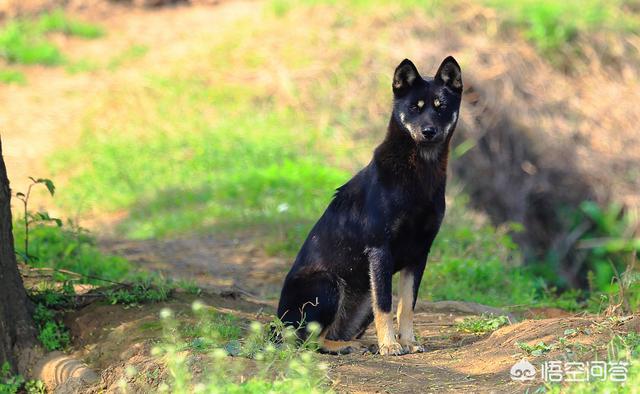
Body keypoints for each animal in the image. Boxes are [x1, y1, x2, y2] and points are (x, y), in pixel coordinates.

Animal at [276, 57, 460, 356]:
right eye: (414, 107)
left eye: (441, 107)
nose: (428, 132)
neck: (419, 172)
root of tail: (276, 324)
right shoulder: (379, 249)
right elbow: (385, 305)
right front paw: (391, 346)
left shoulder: (419, 253)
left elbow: (406, 305)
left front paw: (408, 342)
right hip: (327, 285)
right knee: (309, 340)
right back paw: (349, 347)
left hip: (360, 301)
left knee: (328, 333)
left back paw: (355, 343)